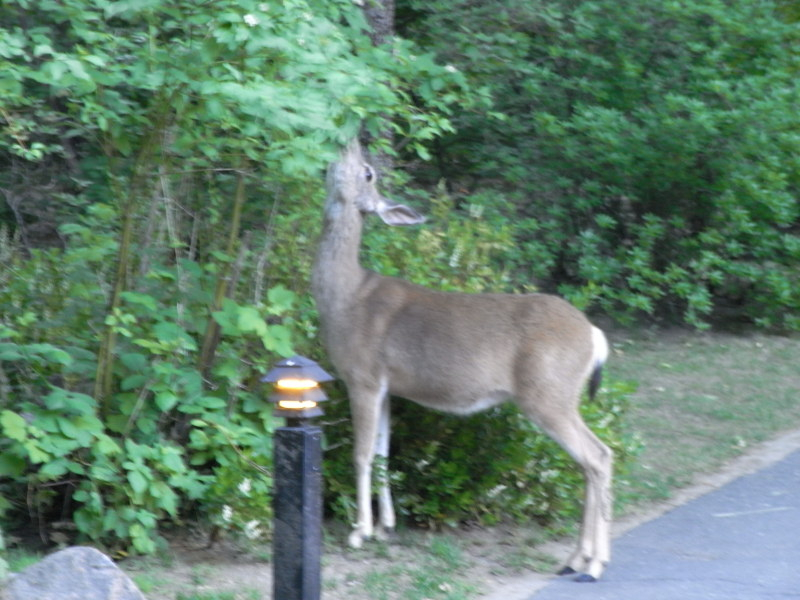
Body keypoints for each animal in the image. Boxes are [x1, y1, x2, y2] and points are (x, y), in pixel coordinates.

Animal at [310, 139, 612, 580]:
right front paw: (385, 527)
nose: (348, 141)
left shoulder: (362, 376)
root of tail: (594, 336)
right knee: (594, 459)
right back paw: (577, 559)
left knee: (597, 457)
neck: (347, 299)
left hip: (548, 393)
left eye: (367, 172)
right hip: (558, 396)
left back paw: (592, 564)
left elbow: (362, 453)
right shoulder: (387, 387)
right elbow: (384, 452)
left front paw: (359, 532)